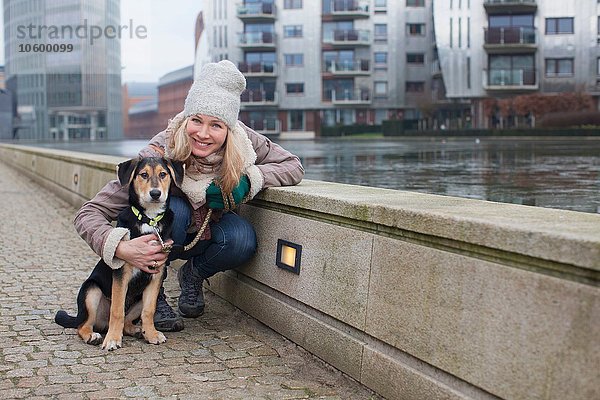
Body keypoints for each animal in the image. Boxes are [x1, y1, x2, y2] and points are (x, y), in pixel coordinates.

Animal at [56, 156, 183, 350]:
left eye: (163, 174)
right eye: (143, 174)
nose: (155, 193)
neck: (150, 220)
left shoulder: (157, 272)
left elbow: (149, 310)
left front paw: (151, 334)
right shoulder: (121, 272)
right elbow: (116, 310)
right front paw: (112, 340)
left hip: (138, 297)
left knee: (128, 321)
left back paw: (138, 330)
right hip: (91, 291)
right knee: (83, 325)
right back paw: (93, 336)